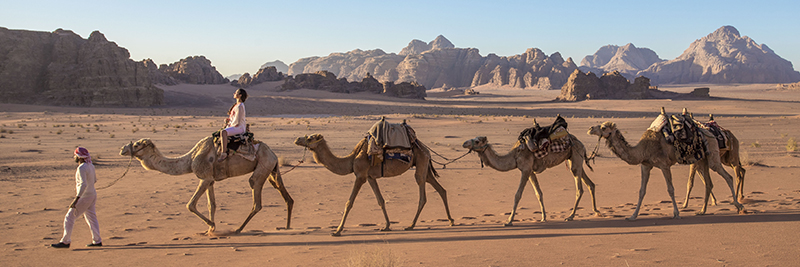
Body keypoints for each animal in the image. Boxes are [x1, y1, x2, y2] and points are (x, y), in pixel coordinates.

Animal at [119, 138, 294, 234]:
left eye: (137, 145)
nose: (122, 149)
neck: (190, 160)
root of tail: (273, 154)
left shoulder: (204, 177)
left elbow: (190, 204)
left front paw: (212, 225)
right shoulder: (210, 179)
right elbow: (212, 205)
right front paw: (209, 230)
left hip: (262, 168)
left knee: (256, 197)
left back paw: (238, 229)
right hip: (271, 169)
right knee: (285, 195)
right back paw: (286, 227)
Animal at [296, 134, 456, 237]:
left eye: (310, 137)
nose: (297, 139)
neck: (351, 159)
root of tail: (426, 149)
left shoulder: (360, 175)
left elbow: (349, 202)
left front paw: (337, 231)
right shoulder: (370, 177)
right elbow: (380, 200)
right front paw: (386, 226)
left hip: (421, 162)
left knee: (422, 192)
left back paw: (411, 225)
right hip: (424, 165)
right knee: (441, 189)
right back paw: (451, 221)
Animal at [460, 135, 596, 225]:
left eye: (477, 141)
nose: (464, 143)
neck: (514, 156)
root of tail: (582, 145)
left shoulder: (525, 170)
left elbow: (517, 195)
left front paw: (509, 221)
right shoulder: (530, 172)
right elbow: (538, 193)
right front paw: (543, 217)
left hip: (575, 158)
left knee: (579, 189)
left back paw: (571, 216)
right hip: (574, 159)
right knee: (590, 184)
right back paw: (596, 211)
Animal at [588, 118, 744, 221]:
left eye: (603, 127)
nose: (590, 129)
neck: (643, 149)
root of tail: (708, 132)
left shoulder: (664, 165)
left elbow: (670, 189)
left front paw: (676, 213)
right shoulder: (645, 165)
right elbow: (641, 191)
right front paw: (632, 216)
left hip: (712, 155)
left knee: (728, 176)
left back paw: (739, 205)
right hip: (701, 160)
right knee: (709, 183)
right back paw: (702, 211)